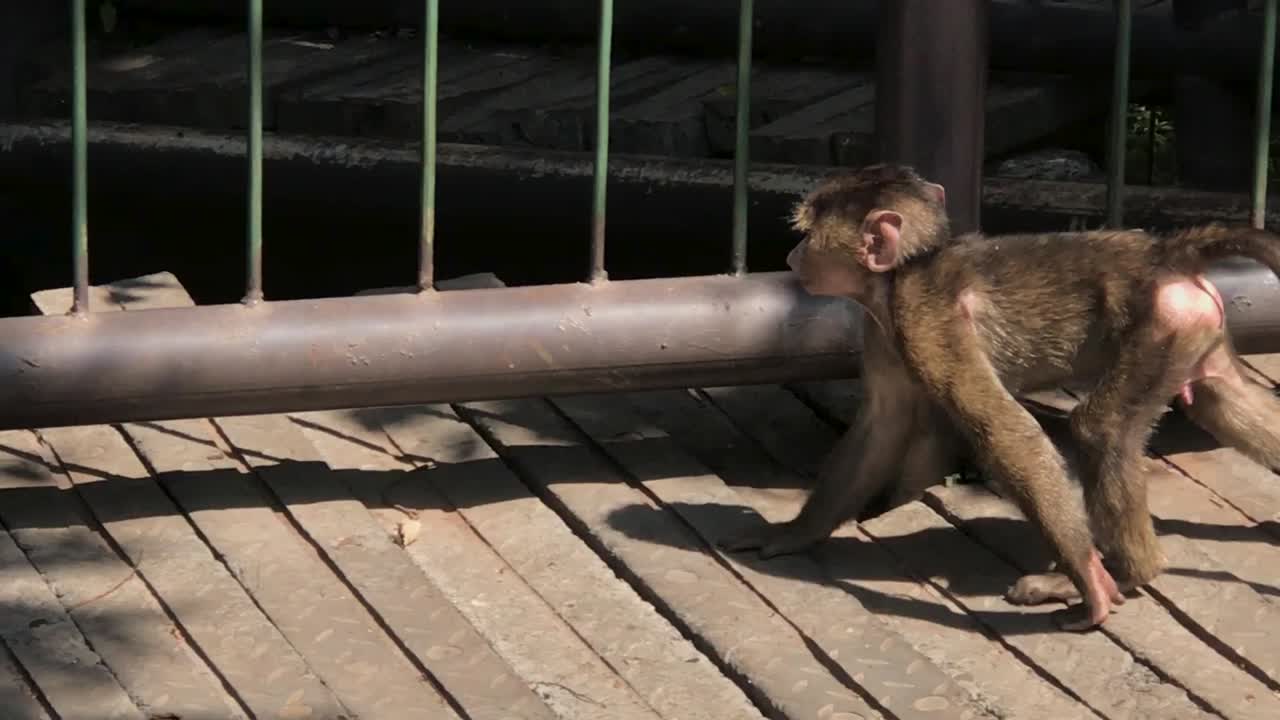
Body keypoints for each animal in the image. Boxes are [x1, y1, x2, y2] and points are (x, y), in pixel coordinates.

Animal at [723, 163, 1280, 630]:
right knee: (1223, 401)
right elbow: (881, 427)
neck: (902, 274)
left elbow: (1002, 429)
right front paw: (795, 532)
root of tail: (1166, 255)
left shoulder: (925, 319)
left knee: (1099, 430)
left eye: (807, 234)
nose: (794, 257)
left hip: (1160, 325)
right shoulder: (881, 332)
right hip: (1192, 331)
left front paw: (1089, 578)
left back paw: (1127, 573)